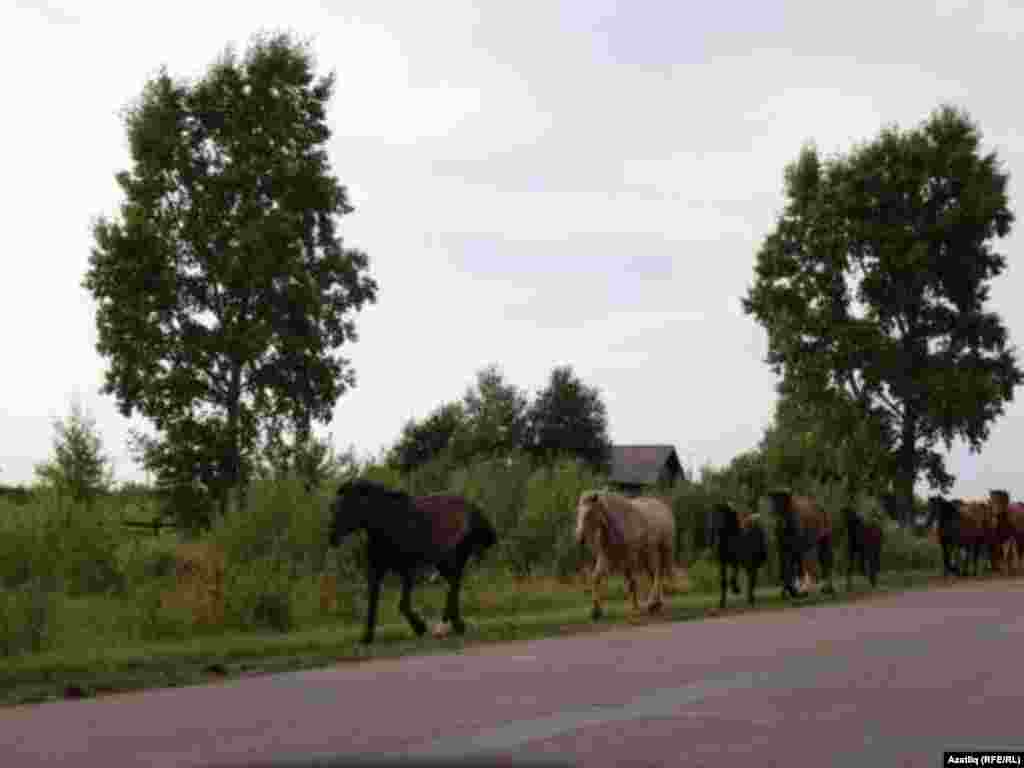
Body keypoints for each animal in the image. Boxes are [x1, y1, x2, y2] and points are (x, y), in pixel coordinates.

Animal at [328, 479, 497, 645]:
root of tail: (474, 508)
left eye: (347, 506)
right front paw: (366, 637)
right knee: (453, 585)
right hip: (444, 563)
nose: (332, 538)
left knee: (454, 586)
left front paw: (420, 627)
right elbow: (372, 602)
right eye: (333, 507)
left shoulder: (408, 570)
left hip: (453, 558)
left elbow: (402, 604)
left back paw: (445, 627)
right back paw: (452, 626)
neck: (386, 525)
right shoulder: (376, 570)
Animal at [575, 490, 675, 621]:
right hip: (647, 555)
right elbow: (595, 579)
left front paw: (635, 609)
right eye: (578, 512)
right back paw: (656, 604)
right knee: (654, 575)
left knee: (659, 574)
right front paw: (596, 611)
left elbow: (632, 583)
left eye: (589, 513)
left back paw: (653, 604)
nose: (579, 538)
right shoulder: (605, 558)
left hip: (664, 550)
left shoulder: (630, 558)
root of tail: (663, 506)